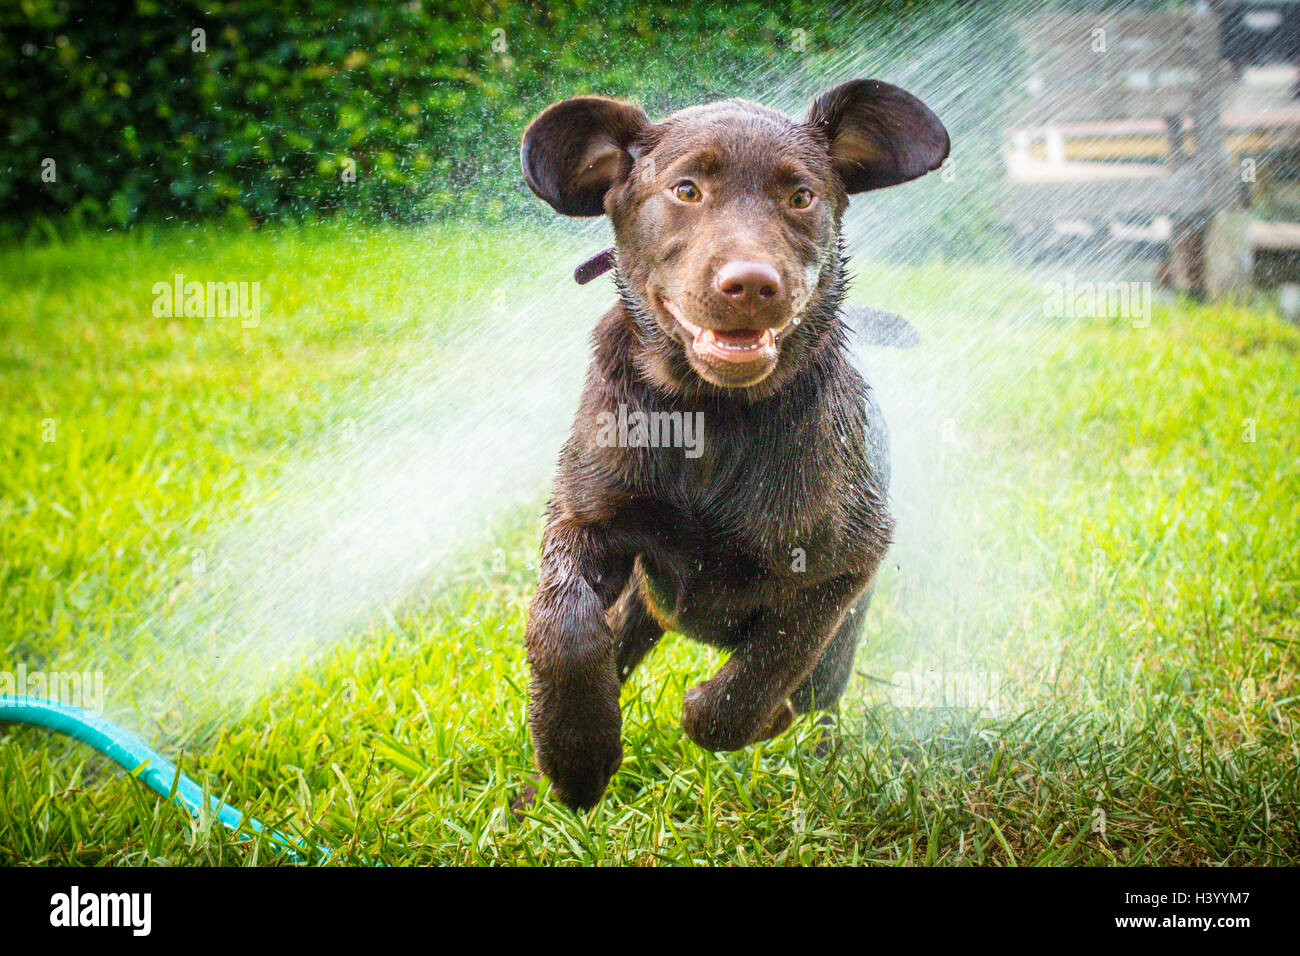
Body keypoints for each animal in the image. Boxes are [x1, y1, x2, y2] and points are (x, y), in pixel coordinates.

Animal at [522, 78, 951, 806]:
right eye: (686, 190)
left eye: (801, 197)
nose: (751, 284)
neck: (708, 416)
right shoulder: (587, 517)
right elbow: (560, 625)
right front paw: (574, 755)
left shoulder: (845, 561)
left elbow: (760, 673)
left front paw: (739, 714)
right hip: (643, 606)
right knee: (616, 639)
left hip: (839, 647)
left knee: (818, 699)